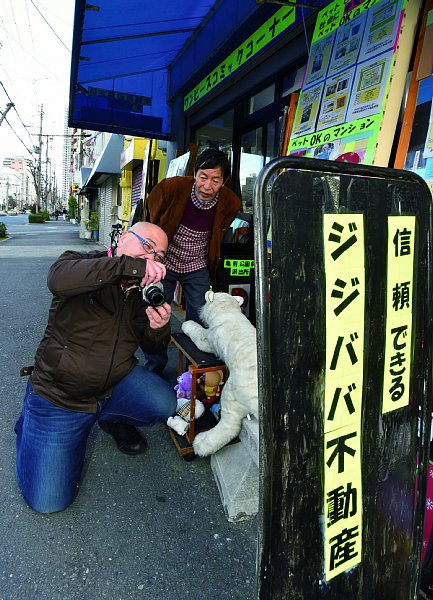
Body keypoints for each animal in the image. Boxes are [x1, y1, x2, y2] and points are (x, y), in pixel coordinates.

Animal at [181, 290, 258, 454]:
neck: (227, 310)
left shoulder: (208, 339)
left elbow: (198, 333)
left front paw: (186, 324)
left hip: (232, 393)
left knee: (229, 425)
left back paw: (200, 443)